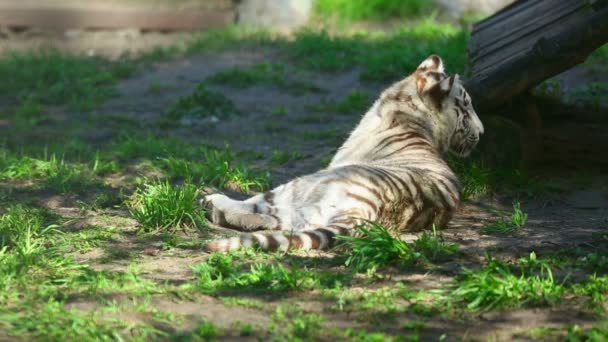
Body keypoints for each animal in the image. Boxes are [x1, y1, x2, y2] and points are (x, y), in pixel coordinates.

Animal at [202, 54, 482, 251]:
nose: (481, 132)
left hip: (307, 182)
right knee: (280, 220)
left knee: (264, 204)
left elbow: (254, 198)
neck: (413, 118)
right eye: (466, 109)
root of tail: (368, 210)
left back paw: (213, 202)